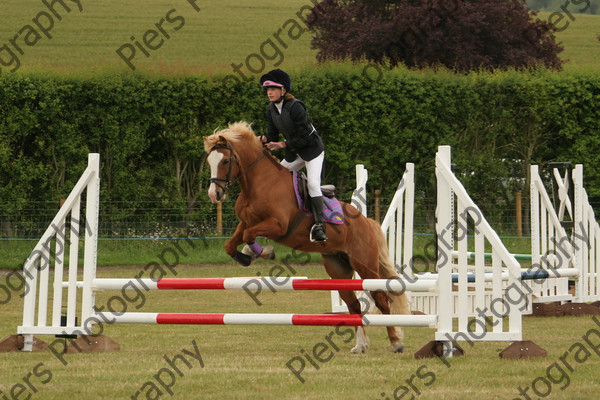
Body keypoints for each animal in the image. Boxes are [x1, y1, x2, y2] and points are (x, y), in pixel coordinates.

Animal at [204, 122, 410, 354]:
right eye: (209, 162)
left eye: (225, 161)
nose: (214, 195)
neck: (258, 184)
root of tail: (367, 222)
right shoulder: (246, 223)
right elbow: (231, 245)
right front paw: (247, 256)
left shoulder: (278, 225)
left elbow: (249, 236)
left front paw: (263, 252)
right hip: (338, 270)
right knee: (354, 305)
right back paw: (360, 345)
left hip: (366, 267)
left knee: (382, 300)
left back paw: (396, 342)